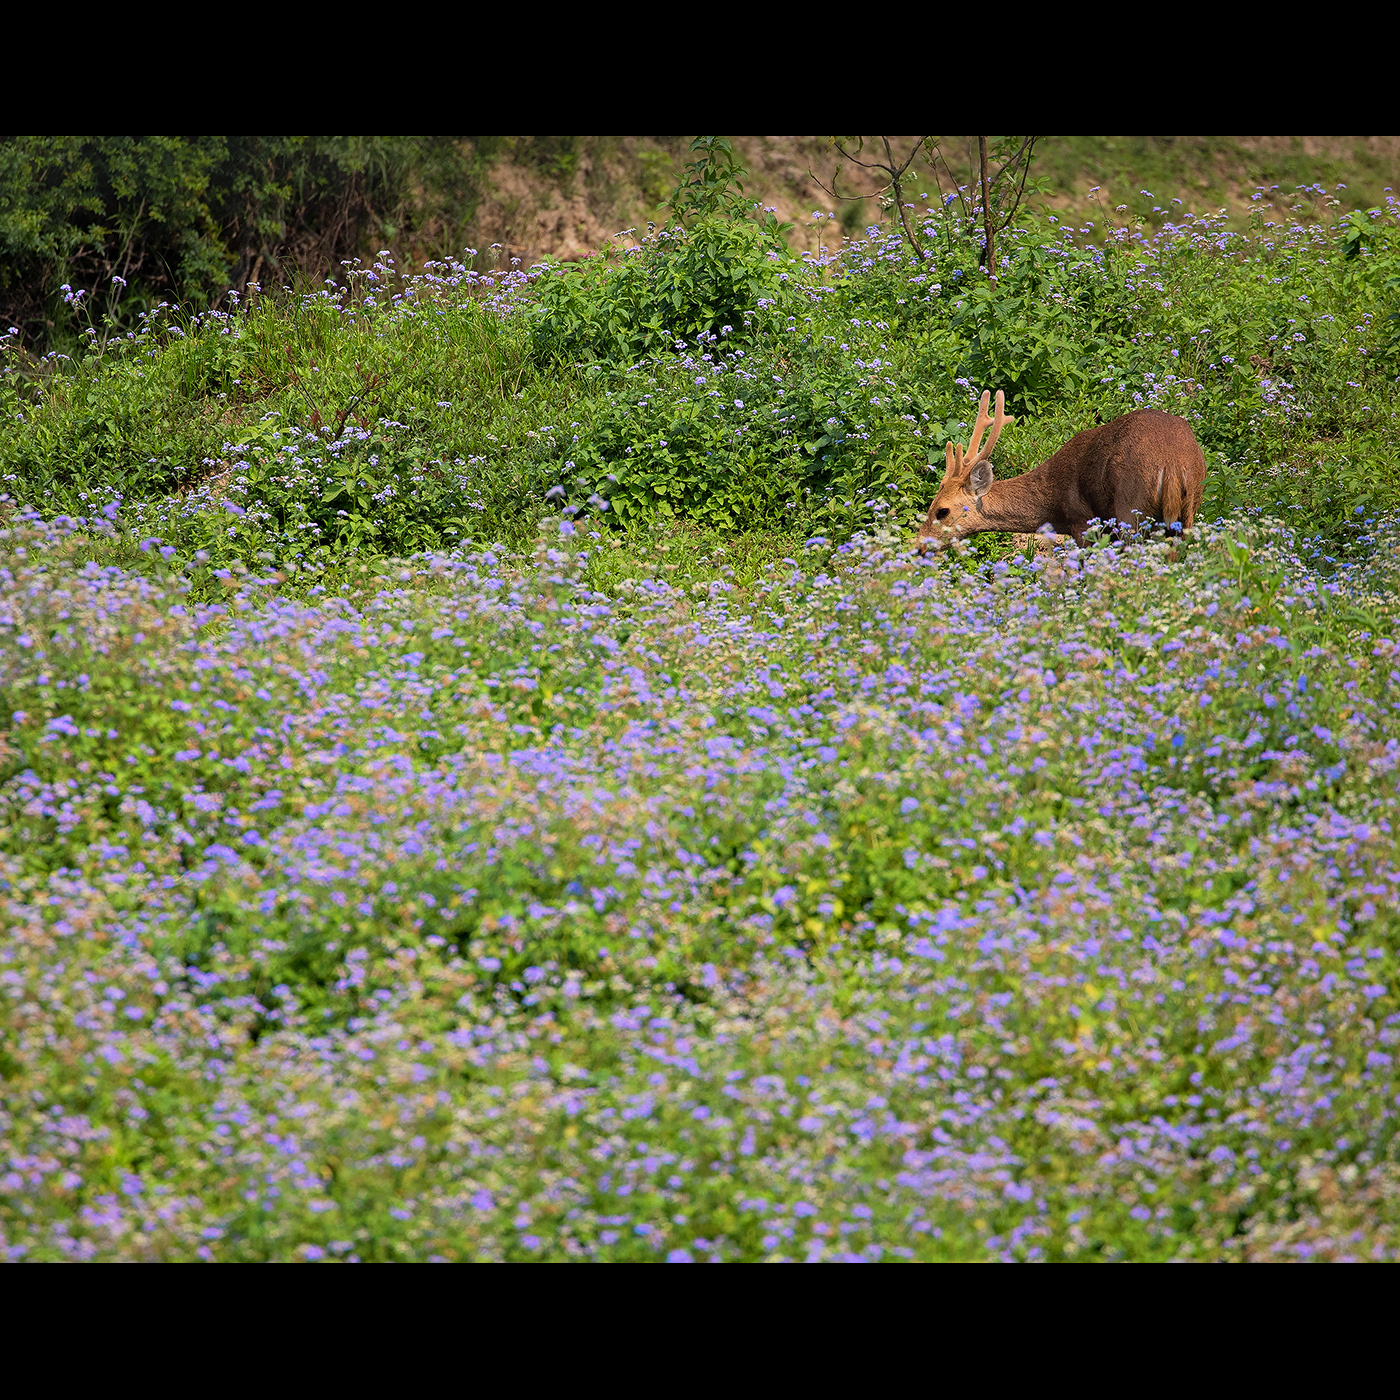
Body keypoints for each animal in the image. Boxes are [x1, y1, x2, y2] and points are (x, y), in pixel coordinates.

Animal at [918, 394, 1204, 551]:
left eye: (942, 511)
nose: (920, 546)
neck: (1053, 500)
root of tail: (1172, 462)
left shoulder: (1083, 521)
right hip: (1190, 506)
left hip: (1130, 507)